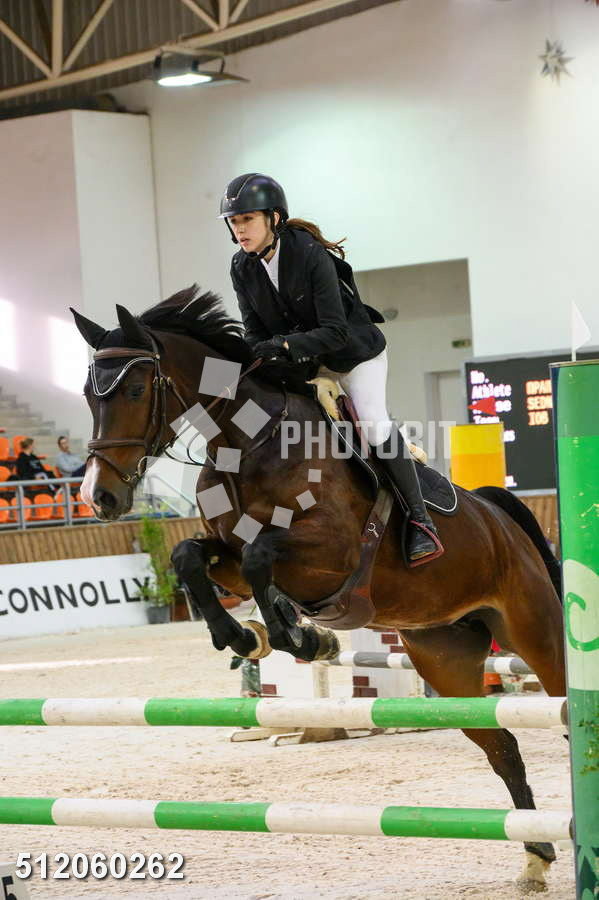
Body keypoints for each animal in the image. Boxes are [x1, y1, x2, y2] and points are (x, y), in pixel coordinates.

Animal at [72, 286, 566, 892]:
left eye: (137, 389)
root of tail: (498, 516)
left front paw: (298, 635)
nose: (100, 498)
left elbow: (262, 557)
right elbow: (191, 556)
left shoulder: (332, 553)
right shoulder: (228, 556)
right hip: (446, 658)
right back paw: (537, 855)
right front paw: (247, 637)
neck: (247, 442)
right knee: (504, 749)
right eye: (87, 394)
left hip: (533, 631)